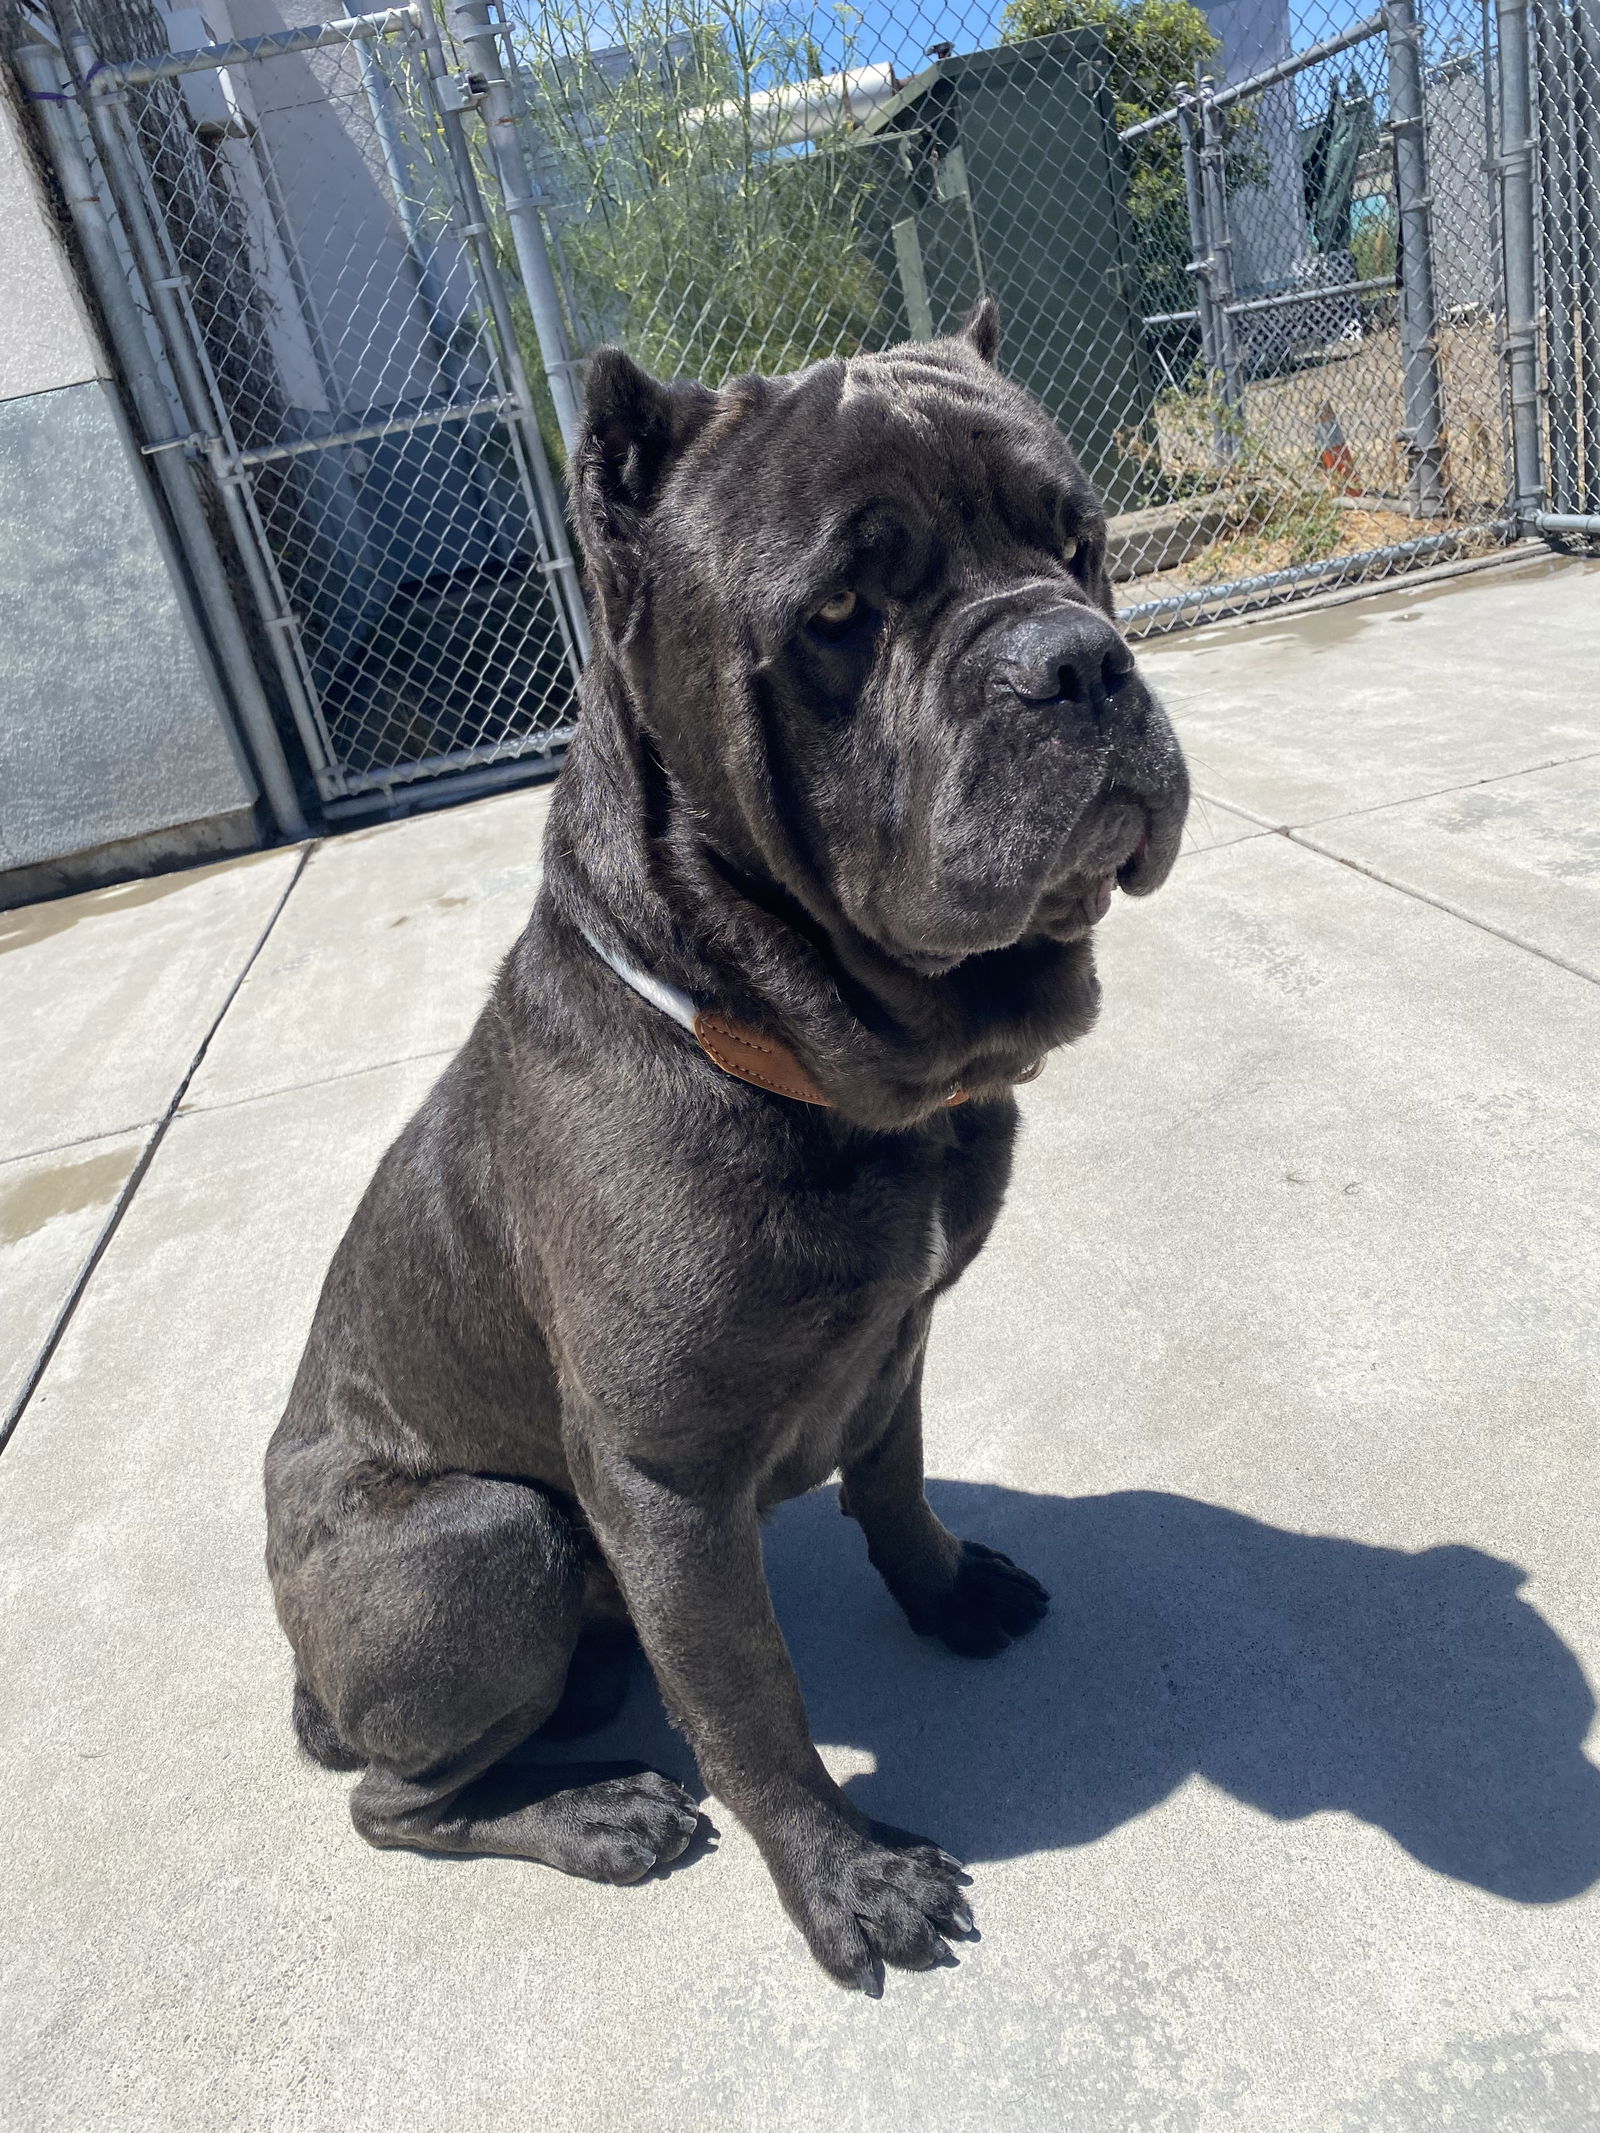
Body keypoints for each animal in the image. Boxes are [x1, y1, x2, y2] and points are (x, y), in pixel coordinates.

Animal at [263, 305, 1194, 1996]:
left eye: (1080, 545)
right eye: (838, 612)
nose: (1079, 657)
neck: (808, 1057)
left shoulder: (902, 1338)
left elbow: (892, 1479)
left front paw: (946, 1588)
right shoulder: (662, 1480)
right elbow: (753, 1701)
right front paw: (846, 1877)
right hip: (488, 1543)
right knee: (395, 1802)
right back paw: (599, 1815)